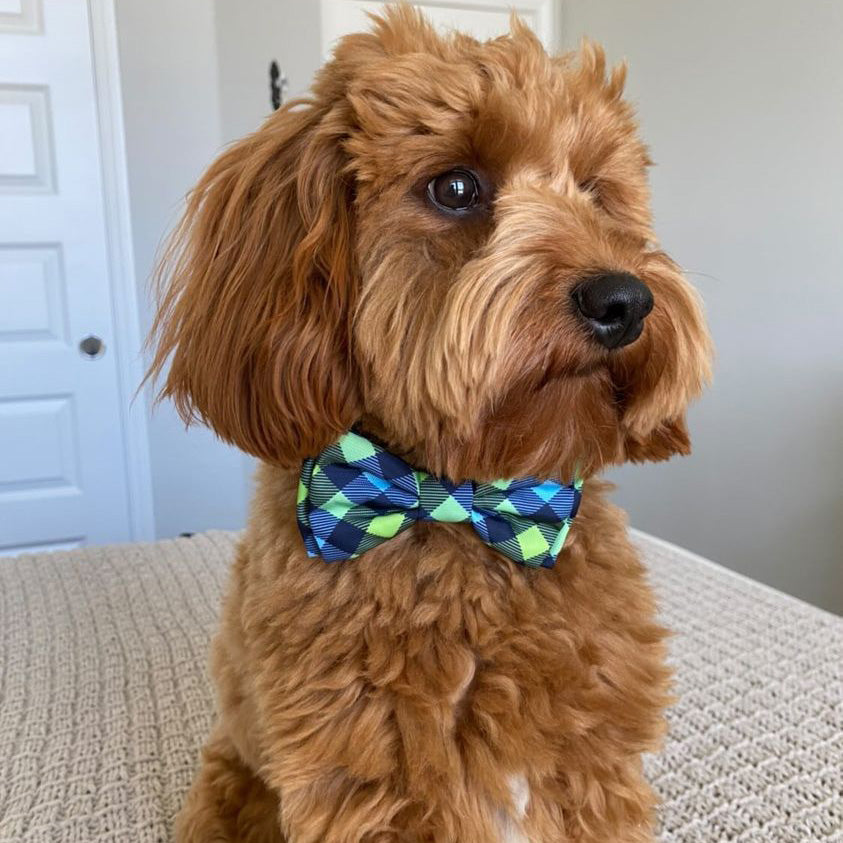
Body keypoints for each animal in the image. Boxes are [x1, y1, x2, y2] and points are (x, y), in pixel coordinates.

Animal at [148, 6, 708, 843]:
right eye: (455, 187)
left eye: (595, 192)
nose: (623, 300)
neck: (461, 500)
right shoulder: (377, 783)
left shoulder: (590, 766)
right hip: (234, 779)